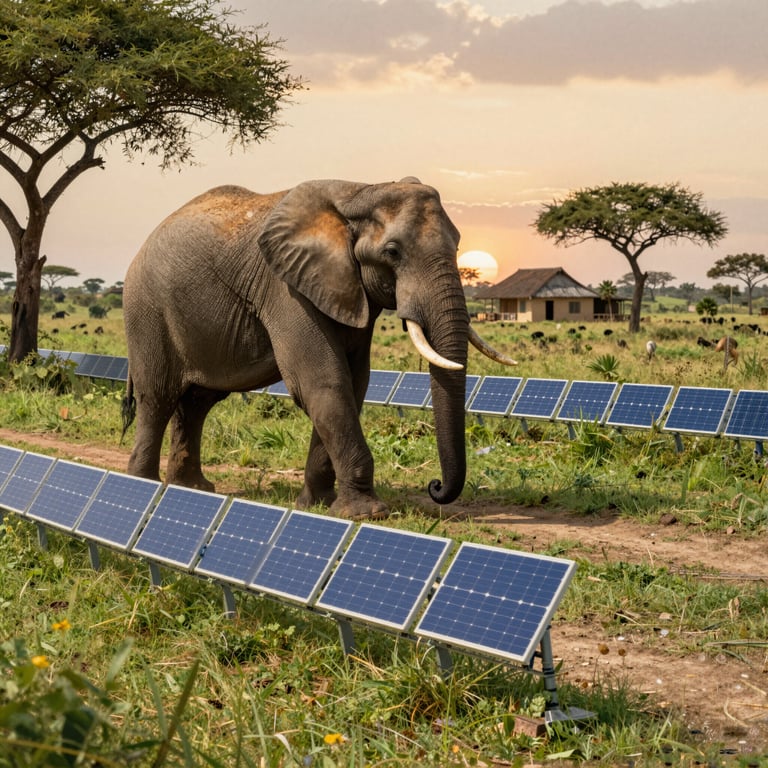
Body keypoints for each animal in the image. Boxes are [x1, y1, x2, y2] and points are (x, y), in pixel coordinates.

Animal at [121, 178, 515, 520]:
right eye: (392, 252)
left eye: (458, 246)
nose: (435, 486)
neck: (360, 191)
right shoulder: (285, 287)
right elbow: (323, 381)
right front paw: (368, 514)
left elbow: (354, 383)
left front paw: (317, 505)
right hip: (146, 310)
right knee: (158, 396)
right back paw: (143, 487)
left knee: (197, 402)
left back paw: (191, 488)